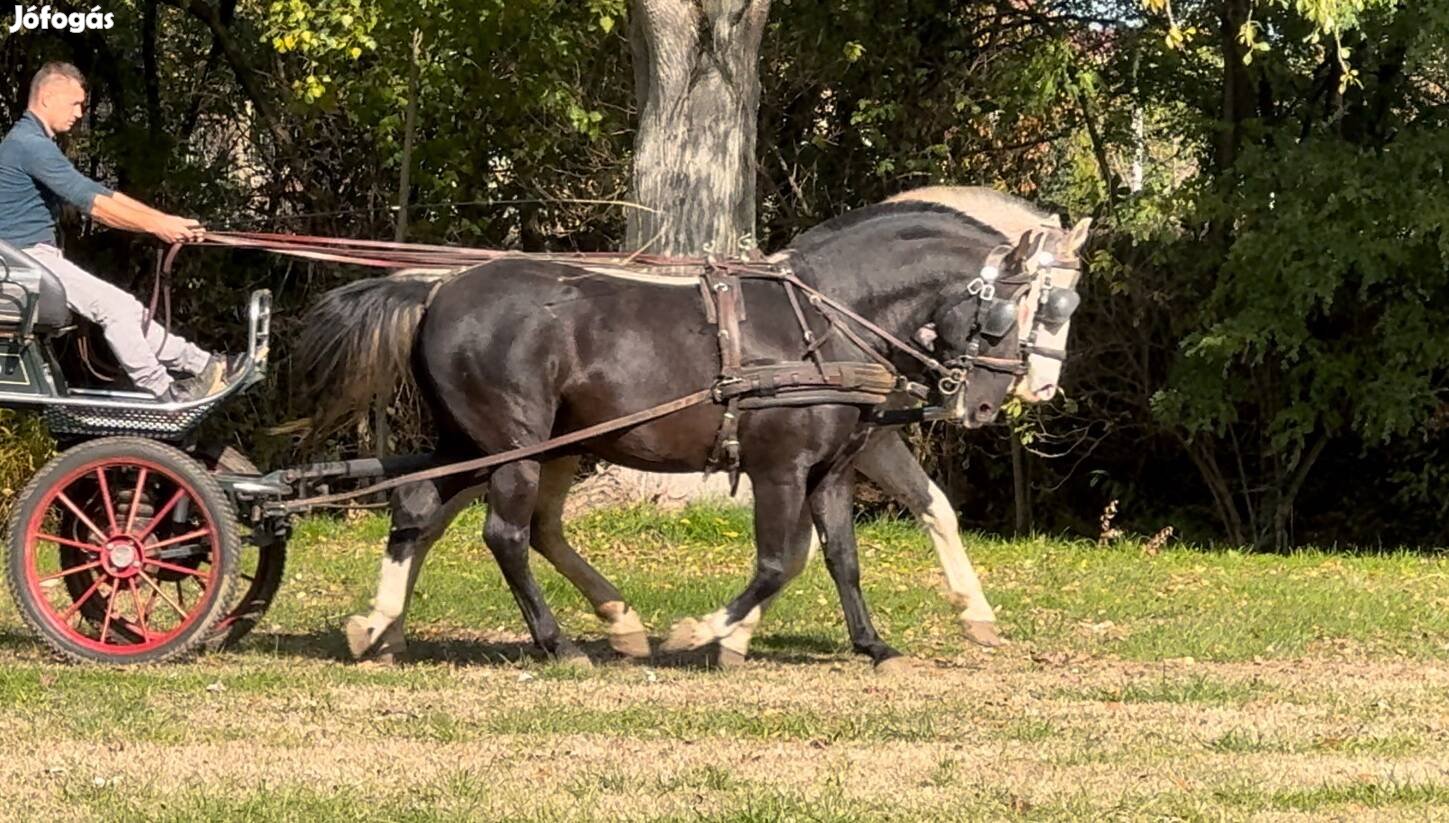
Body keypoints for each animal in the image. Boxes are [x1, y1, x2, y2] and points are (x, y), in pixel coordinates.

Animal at [297, 197, 1066, 669]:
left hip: (475, 442)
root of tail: (436, 290)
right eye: (1013, 314)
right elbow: (777, 562)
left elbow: (842, 559)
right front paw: (700, 632)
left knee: (418, 509)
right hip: (513, 445)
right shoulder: (779, 467)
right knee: (505, 535)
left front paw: (873, 645)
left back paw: (378, 626)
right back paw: (558, 642)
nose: (991, 403)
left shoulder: (833, 469)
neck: (824, 319)